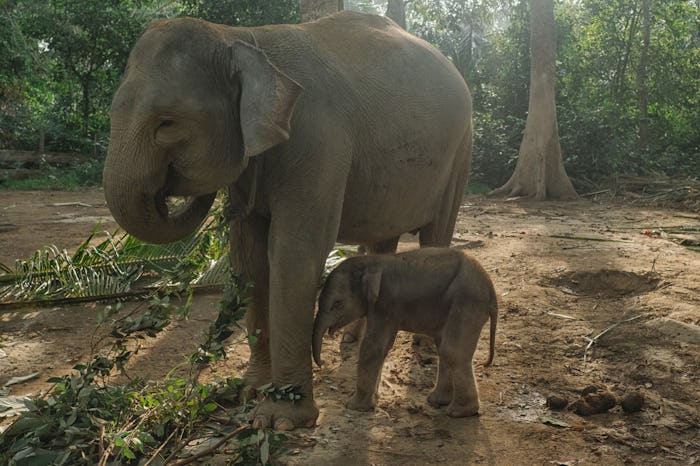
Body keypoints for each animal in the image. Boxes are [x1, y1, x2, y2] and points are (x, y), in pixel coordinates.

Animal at [103, 11, 472, 430]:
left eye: (167, 124)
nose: (174, 187)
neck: (239, 38)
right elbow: (249, 260)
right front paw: (247, 393)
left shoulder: (318, 143)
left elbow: (295, 256)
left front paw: (279, 419)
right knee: (383, 239)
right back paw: (353, 339)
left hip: (460, 152)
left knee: (436, 235)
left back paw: (424, 346)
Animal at [312, 248, 497, 417]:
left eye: (337, 303)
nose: (322, 364)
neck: (373, 262)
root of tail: (491, 289)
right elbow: (382, 348)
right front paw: (374, 400)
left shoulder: (386, 303)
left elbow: (373, 347)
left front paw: (354, 407)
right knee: (444, 348)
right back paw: (437, 401)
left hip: (467, 303)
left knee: (451, 351)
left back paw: (459, 412)